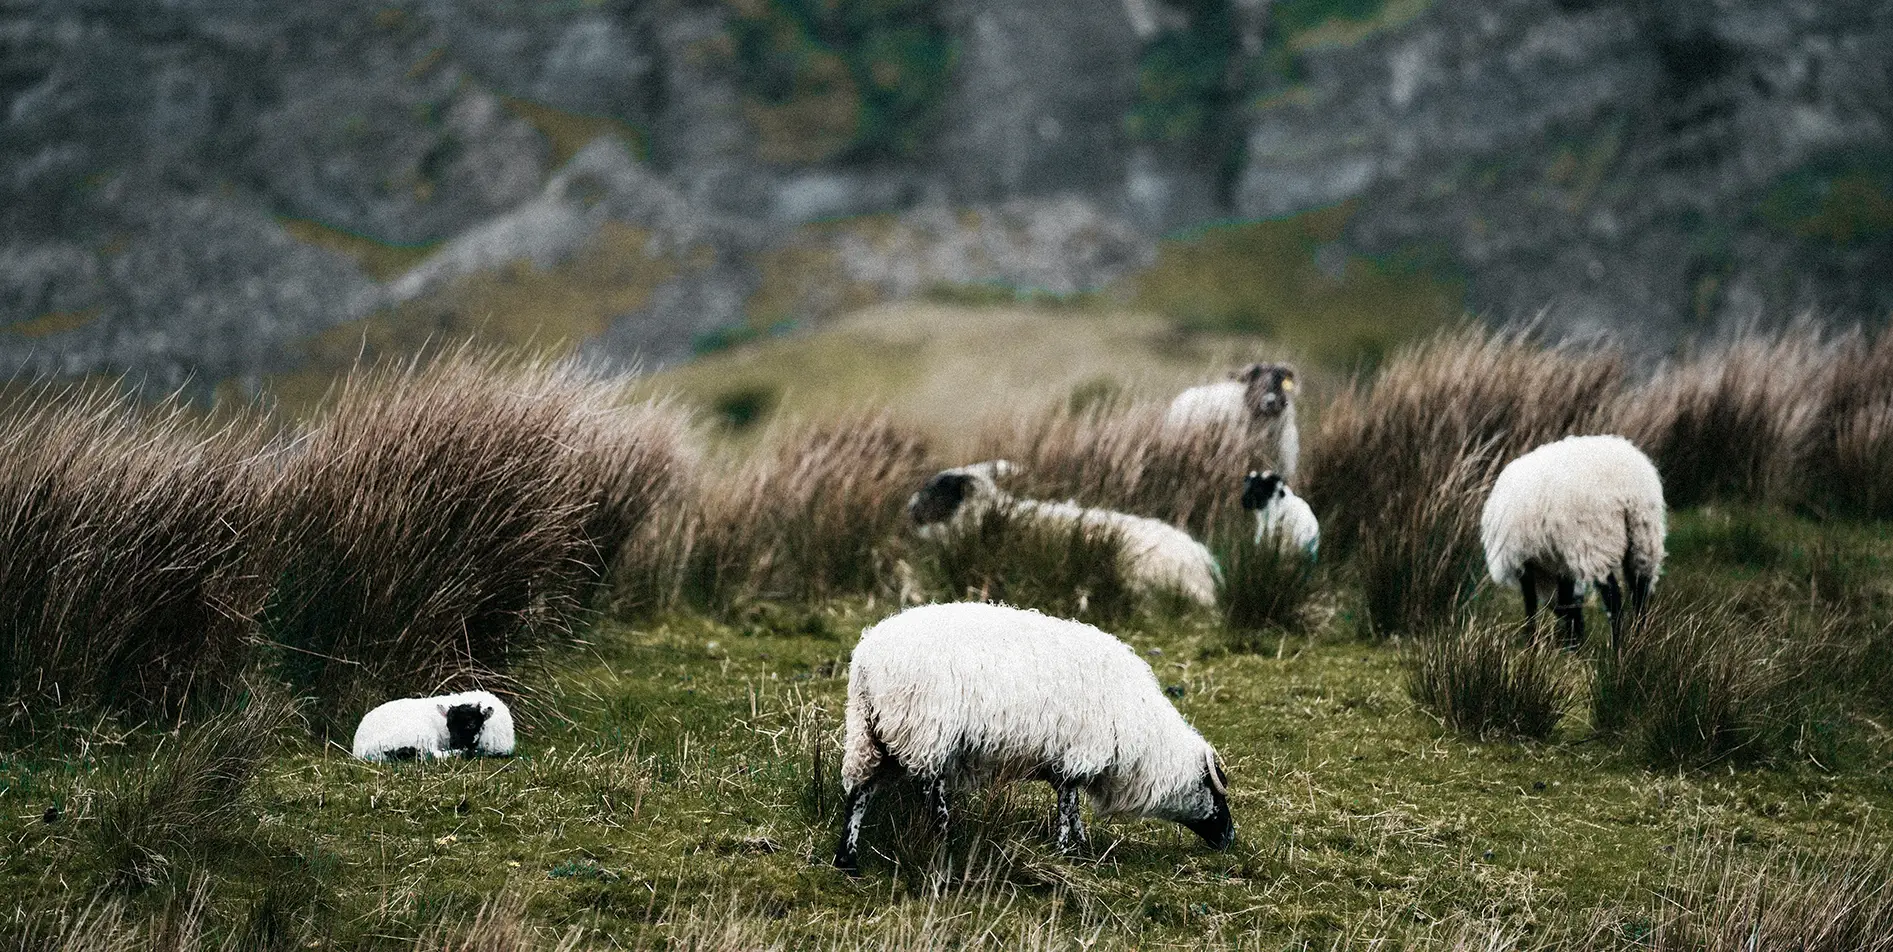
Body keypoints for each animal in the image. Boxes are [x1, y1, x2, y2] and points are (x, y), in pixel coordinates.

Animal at [351, 689, 516, 762]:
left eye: (471, 723)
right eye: (448, 725)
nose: (453, 744)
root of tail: (359, 749)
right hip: (421, 735)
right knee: (429, 754)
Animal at [833, 602, 1232, 873]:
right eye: (1214, 793)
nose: (1230, 840)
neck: (1147, 741)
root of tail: (868, 658)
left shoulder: (1065, 759)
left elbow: (1070, 804)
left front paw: (1081, 844)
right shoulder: (1080, 754)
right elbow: (1068, 804)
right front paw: (1066, 849)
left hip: (869, 734)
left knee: (860, 792)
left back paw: (847, 858)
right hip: (926, 731)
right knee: (931, 793)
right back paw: (944, 843)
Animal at [1480, 435, 1667, 651]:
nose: (1577, 637)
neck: (1546, 573)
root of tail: (1629, 490)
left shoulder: (1524, 562)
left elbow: (1531, 603)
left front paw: (1532, 645)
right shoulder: (1560, 563)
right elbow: (1565, 597)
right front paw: (1570, 647)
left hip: (1595, 541)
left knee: (1613, 597)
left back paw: (1617, 648)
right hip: (1644, 537)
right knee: (1640, 591)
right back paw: (1639, 640)